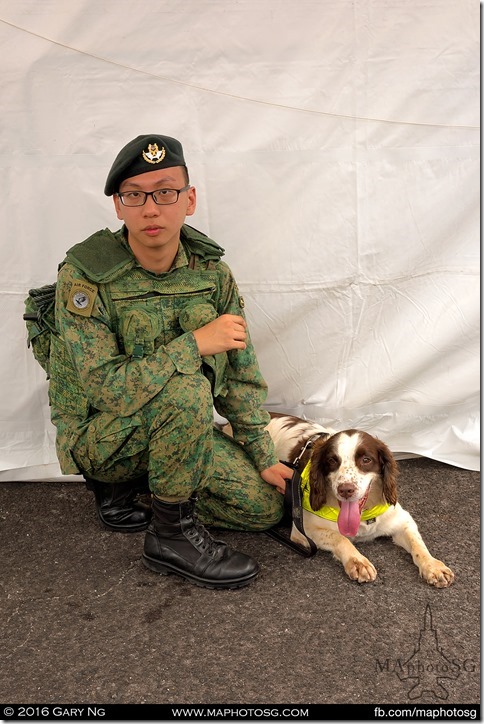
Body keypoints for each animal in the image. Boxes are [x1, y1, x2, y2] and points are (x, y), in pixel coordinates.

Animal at [264, 412, 454, 588]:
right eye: (332, 460)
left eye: (366, 459)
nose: (345, 489)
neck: (363, 515)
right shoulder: (302, 530)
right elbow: (340, 538)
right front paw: (358, 562)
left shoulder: (402, 520)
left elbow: (418, 544)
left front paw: (433, 566)